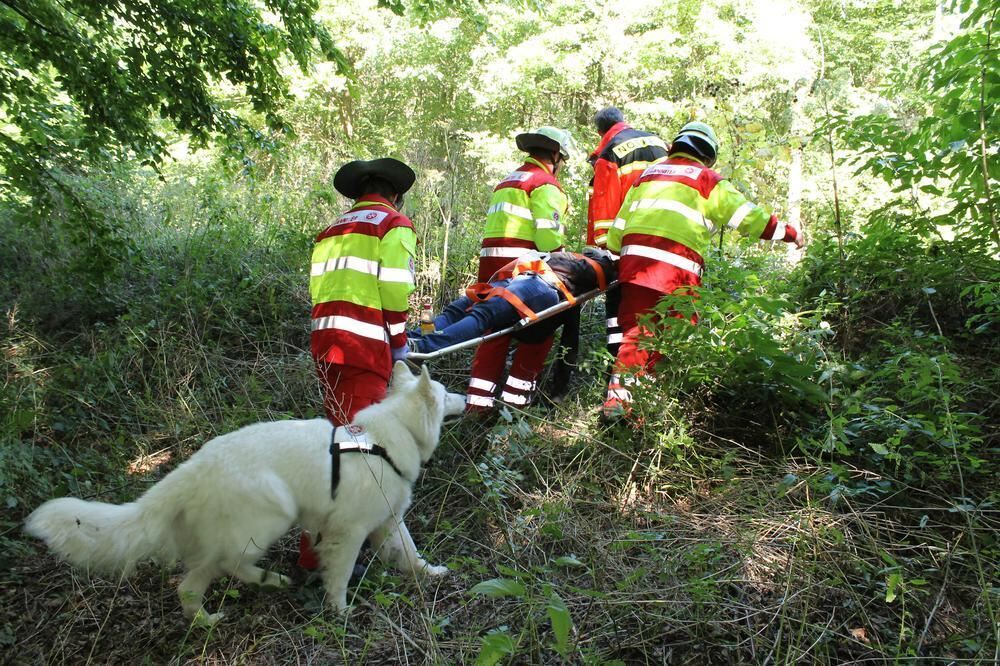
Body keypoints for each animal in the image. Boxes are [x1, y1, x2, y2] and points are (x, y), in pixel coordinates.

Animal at [26, 360, 464, 620]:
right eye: (445, 394)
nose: (465, 396)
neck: (385, 438)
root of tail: (191, 471)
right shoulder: (348, 532)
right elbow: (338, 577)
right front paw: (340, 612)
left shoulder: (389, 520)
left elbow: (411, 553)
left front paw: (432, 574)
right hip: (271, 518)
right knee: (228, 566)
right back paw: (268, 580)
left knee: (190, 586)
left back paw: (207, 619)